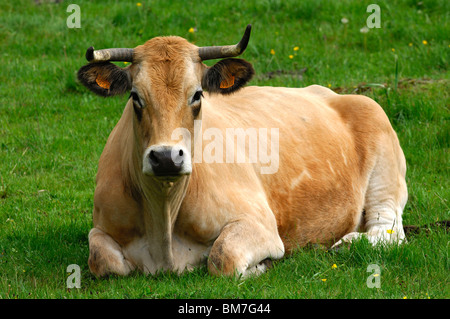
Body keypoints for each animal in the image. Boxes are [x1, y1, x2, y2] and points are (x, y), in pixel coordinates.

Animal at [77, 25, 408, 278]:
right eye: (135, 97)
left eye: (197, 95)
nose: (166, 157)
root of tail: (328, 93)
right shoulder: (102, 227)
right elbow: (102, 261)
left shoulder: (261, 224)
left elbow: (222, 257)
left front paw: (261, 266)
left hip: (385, 173)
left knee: (389, 231)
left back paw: (348, 243)